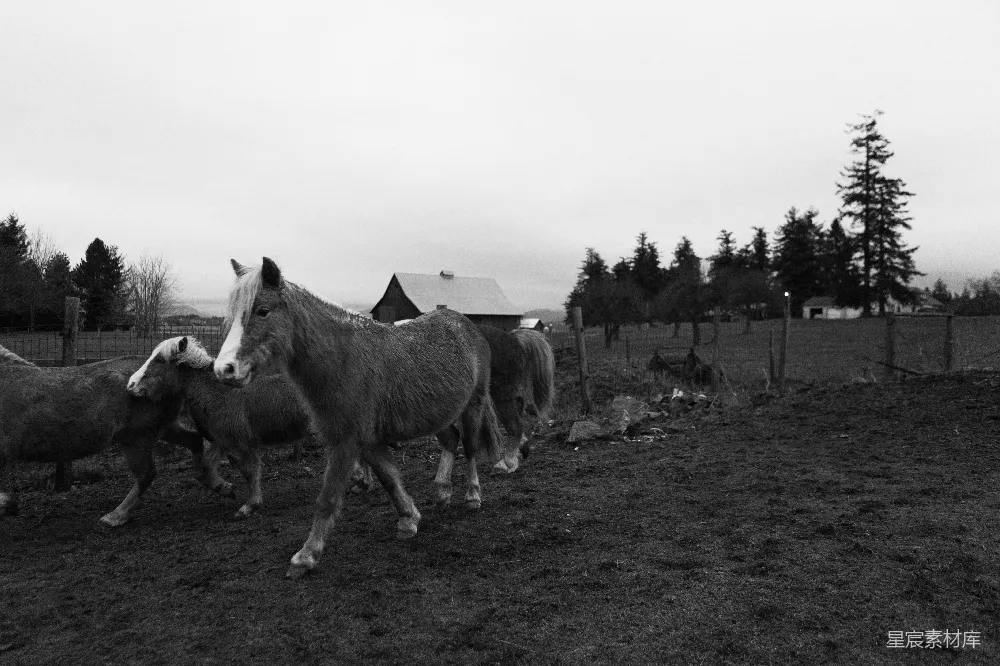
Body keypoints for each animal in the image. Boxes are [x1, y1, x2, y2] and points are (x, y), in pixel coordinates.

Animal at [0, 344, 233, 523]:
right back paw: (219, 484)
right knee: (194, 441)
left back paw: (116, 516)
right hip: (163, 429)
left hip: (137, 438)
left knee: (146, 474)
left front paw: (8, 504)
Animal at [127, 336, 318, 518]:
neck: (218, 392)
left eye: (160, 360)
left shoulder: (242, 443)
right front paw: (226, 489)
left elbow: (251, 471)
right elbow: (204, 468)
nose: (131, 384)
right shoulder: (222, 441)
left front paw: (250, 506)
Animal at [214, 257, 504, 578]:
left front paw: (306, 556)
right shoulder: (364, 439)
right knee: (451, 440)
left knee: (471, 448)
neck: (342, 360)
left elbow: (328, 498)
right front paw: (409, 519)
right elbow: (388, 478)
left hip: (473, 404)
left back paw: (473, 496)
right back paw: (442, 492)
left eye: (262, 310)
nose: (224, 369)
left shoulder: (347, 440)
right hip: (438, 414)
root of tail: (467, 326)